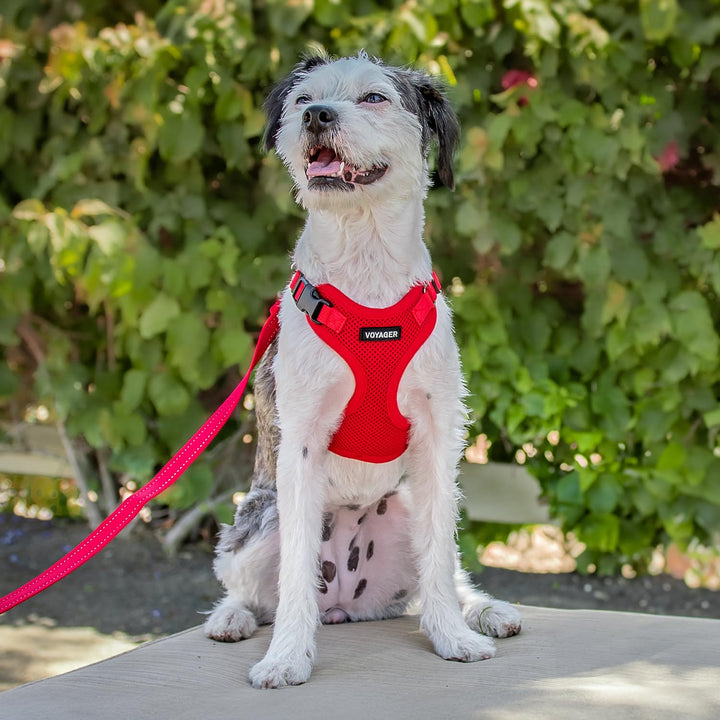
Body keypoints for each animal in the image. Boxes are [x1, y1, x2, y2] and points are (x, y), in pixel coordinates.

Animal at [205, 53, 520, 688]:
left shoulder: (437, 434)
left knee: (444, 570)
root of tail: (343, 602)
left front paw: (453, 637)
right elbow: (293, 575)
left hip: (404, 507)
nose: (317, 117)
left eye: (374, 97)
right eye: (304, 100)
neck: (366, 260)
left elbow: (441, 561)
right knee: (249, 586)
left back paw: (481, 610)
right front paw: (286, 657)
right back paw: (232, 617)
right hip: (259, 518)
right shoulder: (300, 440)